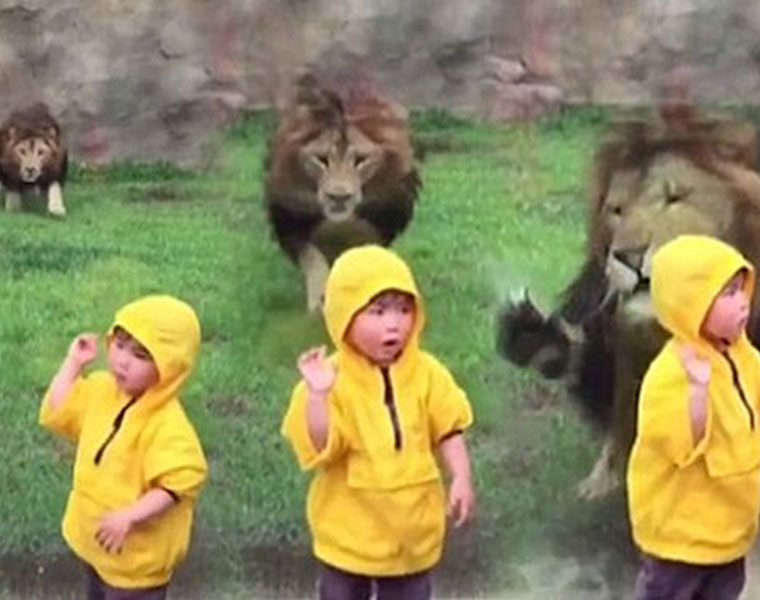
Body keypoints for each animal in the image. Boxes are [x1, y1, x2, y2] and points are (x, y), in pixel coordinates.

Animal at [264, 75, 422, 312]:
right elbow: (313, 259)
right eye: (321, 159)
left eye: (360, 160)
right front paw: (319, 301)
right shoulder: (291, 218)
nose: (338, 197)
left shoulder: (384, 216)